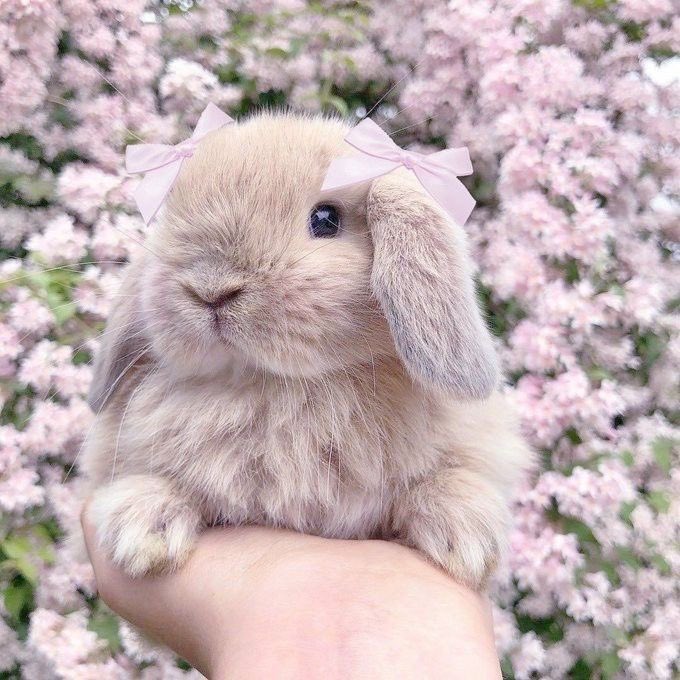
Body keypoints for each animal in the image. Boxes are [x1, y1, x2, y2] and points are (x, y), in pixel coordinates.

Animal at [80, 112, 532, 590]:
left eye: (325, 219)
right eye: (170, 219)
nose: (210, 290)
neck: (278, 388)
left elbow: (447, 478)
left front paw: (466, 537)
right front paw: (141, 526)